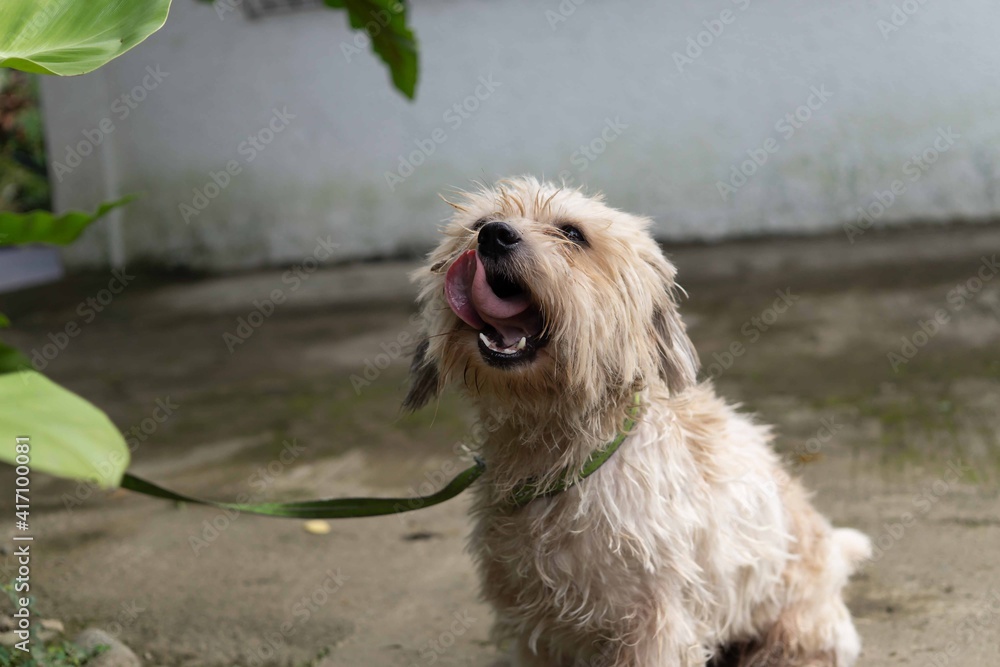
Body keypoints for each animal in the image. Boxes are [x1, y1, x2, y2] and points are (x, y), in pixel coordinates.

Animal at [402, 177, 872, 667]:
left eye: (572, 233)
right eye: (478, 223)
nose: (493, 235)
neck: (563, 459)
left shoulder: (654, 624)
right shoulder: (539, 628)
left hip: (792, 631)